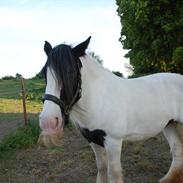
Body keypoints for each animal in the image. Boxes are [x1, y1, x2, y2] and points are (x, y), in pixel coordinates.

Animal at [38, 37, 183, 183]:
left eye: (70, 72)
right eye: (44, 72)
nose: (48, 121)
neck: (100, 99)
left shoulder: (113, 142)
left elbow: (113, 173)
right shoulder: (93, 139)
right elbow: (101, 167)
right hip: (169, 124)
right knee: (177, 149)